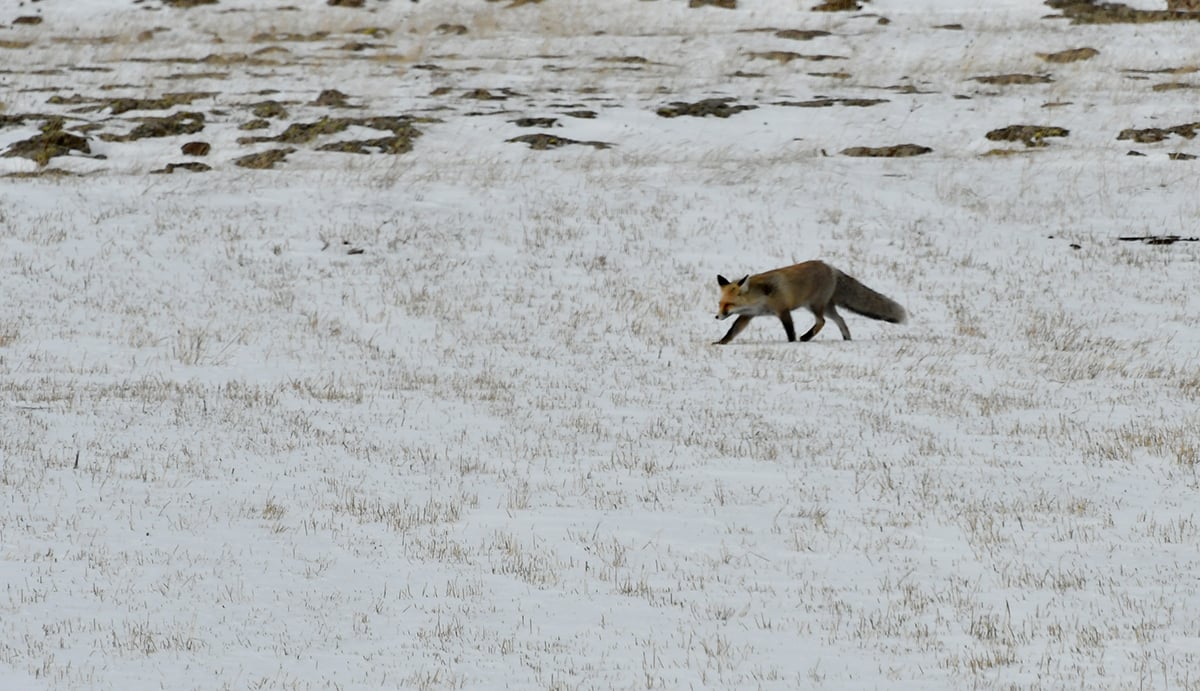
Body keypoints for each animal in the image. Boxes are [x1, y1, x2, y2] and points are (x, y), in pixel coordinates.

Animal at [715, 260, 902, 343]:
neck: (759, 297)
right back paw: (846, 338)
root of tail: (831, 268)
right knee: (840, 319)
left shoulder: (783, 310)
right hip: (827, 307)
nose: (717, 317)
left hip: (814, 306)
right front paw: (720, 343)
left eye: (729, 304)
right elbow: (732, 331)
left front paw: (792, 343)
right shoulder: (748, 315)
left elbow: (790, 330)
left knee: (822, 321)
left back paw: (806, 337)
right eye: (720, 304)